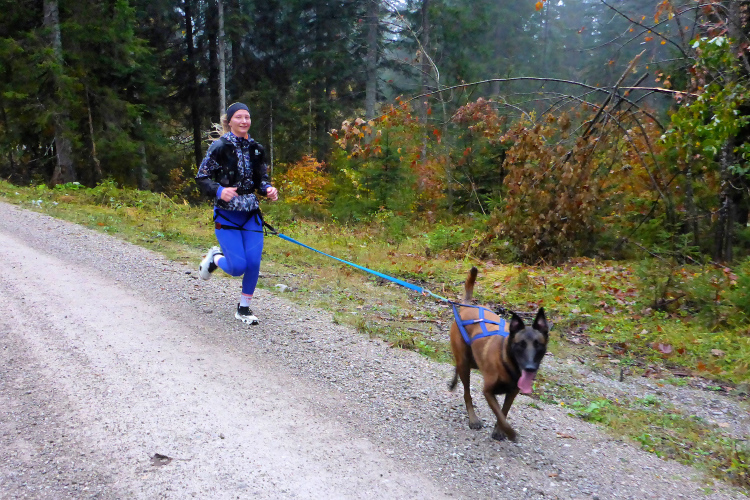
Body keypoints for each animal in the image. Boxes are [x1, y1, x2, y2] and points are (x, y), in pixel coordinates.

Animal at [448, 267, 549, 441]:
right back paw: (473, 419)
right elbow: (499, 414)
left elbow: (504, 411)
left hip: (472, 359)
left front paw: (499, 430)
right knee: (466, 392)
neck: (507, 363)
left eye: (539, 345)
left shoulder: (512, 392)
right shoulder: (488, 391)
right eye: (521, 345)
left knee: (458, 366)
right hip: (466, 363)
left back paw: (454, 382)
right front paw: (509, 432)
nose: (530, 368)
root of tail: (467, 307)